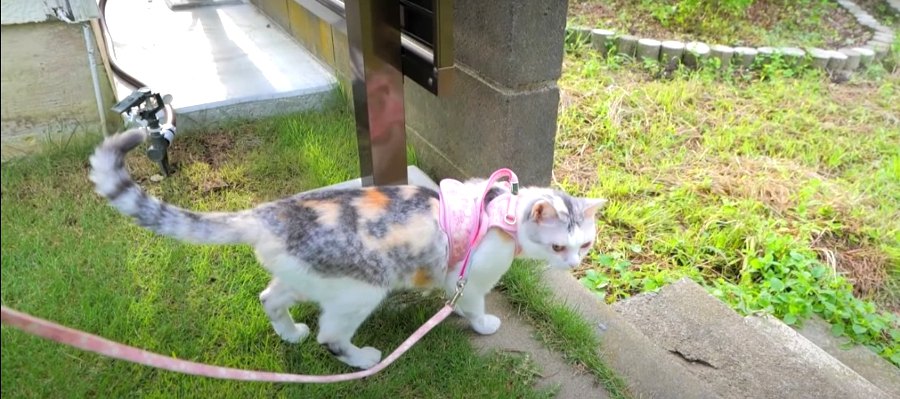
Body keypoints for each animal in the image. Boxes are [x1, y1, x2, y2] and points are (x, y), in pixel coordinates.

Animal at [88, 130, 608, 370]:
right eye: (559, 245)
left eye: (585, 244)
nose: (575, 263)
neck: (501, 213)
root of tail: (268, 213)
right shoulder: (469, 278)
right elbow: (474, 306)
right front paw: (483, 326)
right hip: (360, 290)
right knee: (331, 336)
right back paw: (360, 358)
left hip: (304, 278)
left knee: (269, 298)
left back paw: (290, 334)